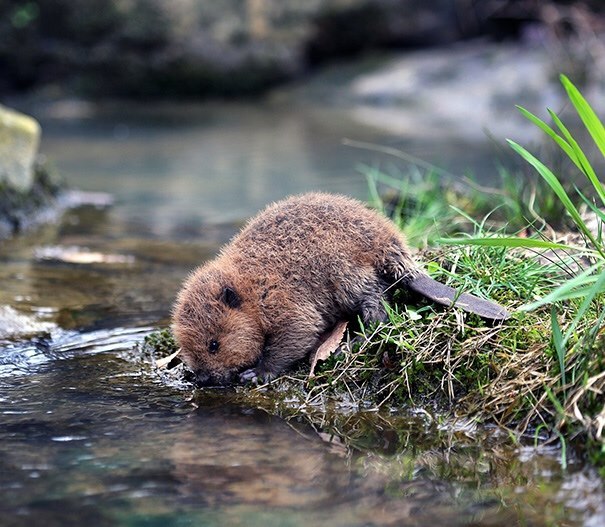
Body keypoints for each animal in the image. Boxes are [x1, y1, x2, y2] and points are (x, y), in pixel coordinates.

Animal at [172, 192, 508, 386]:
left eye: (213, 344)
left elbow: (299, 332)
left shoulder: (282, 299)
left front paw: (256, 373)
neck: (251, 285)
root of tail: (397, 252)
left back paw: (353, 342)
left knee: (377, 307)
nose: (202, 379)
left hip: (346, 274)